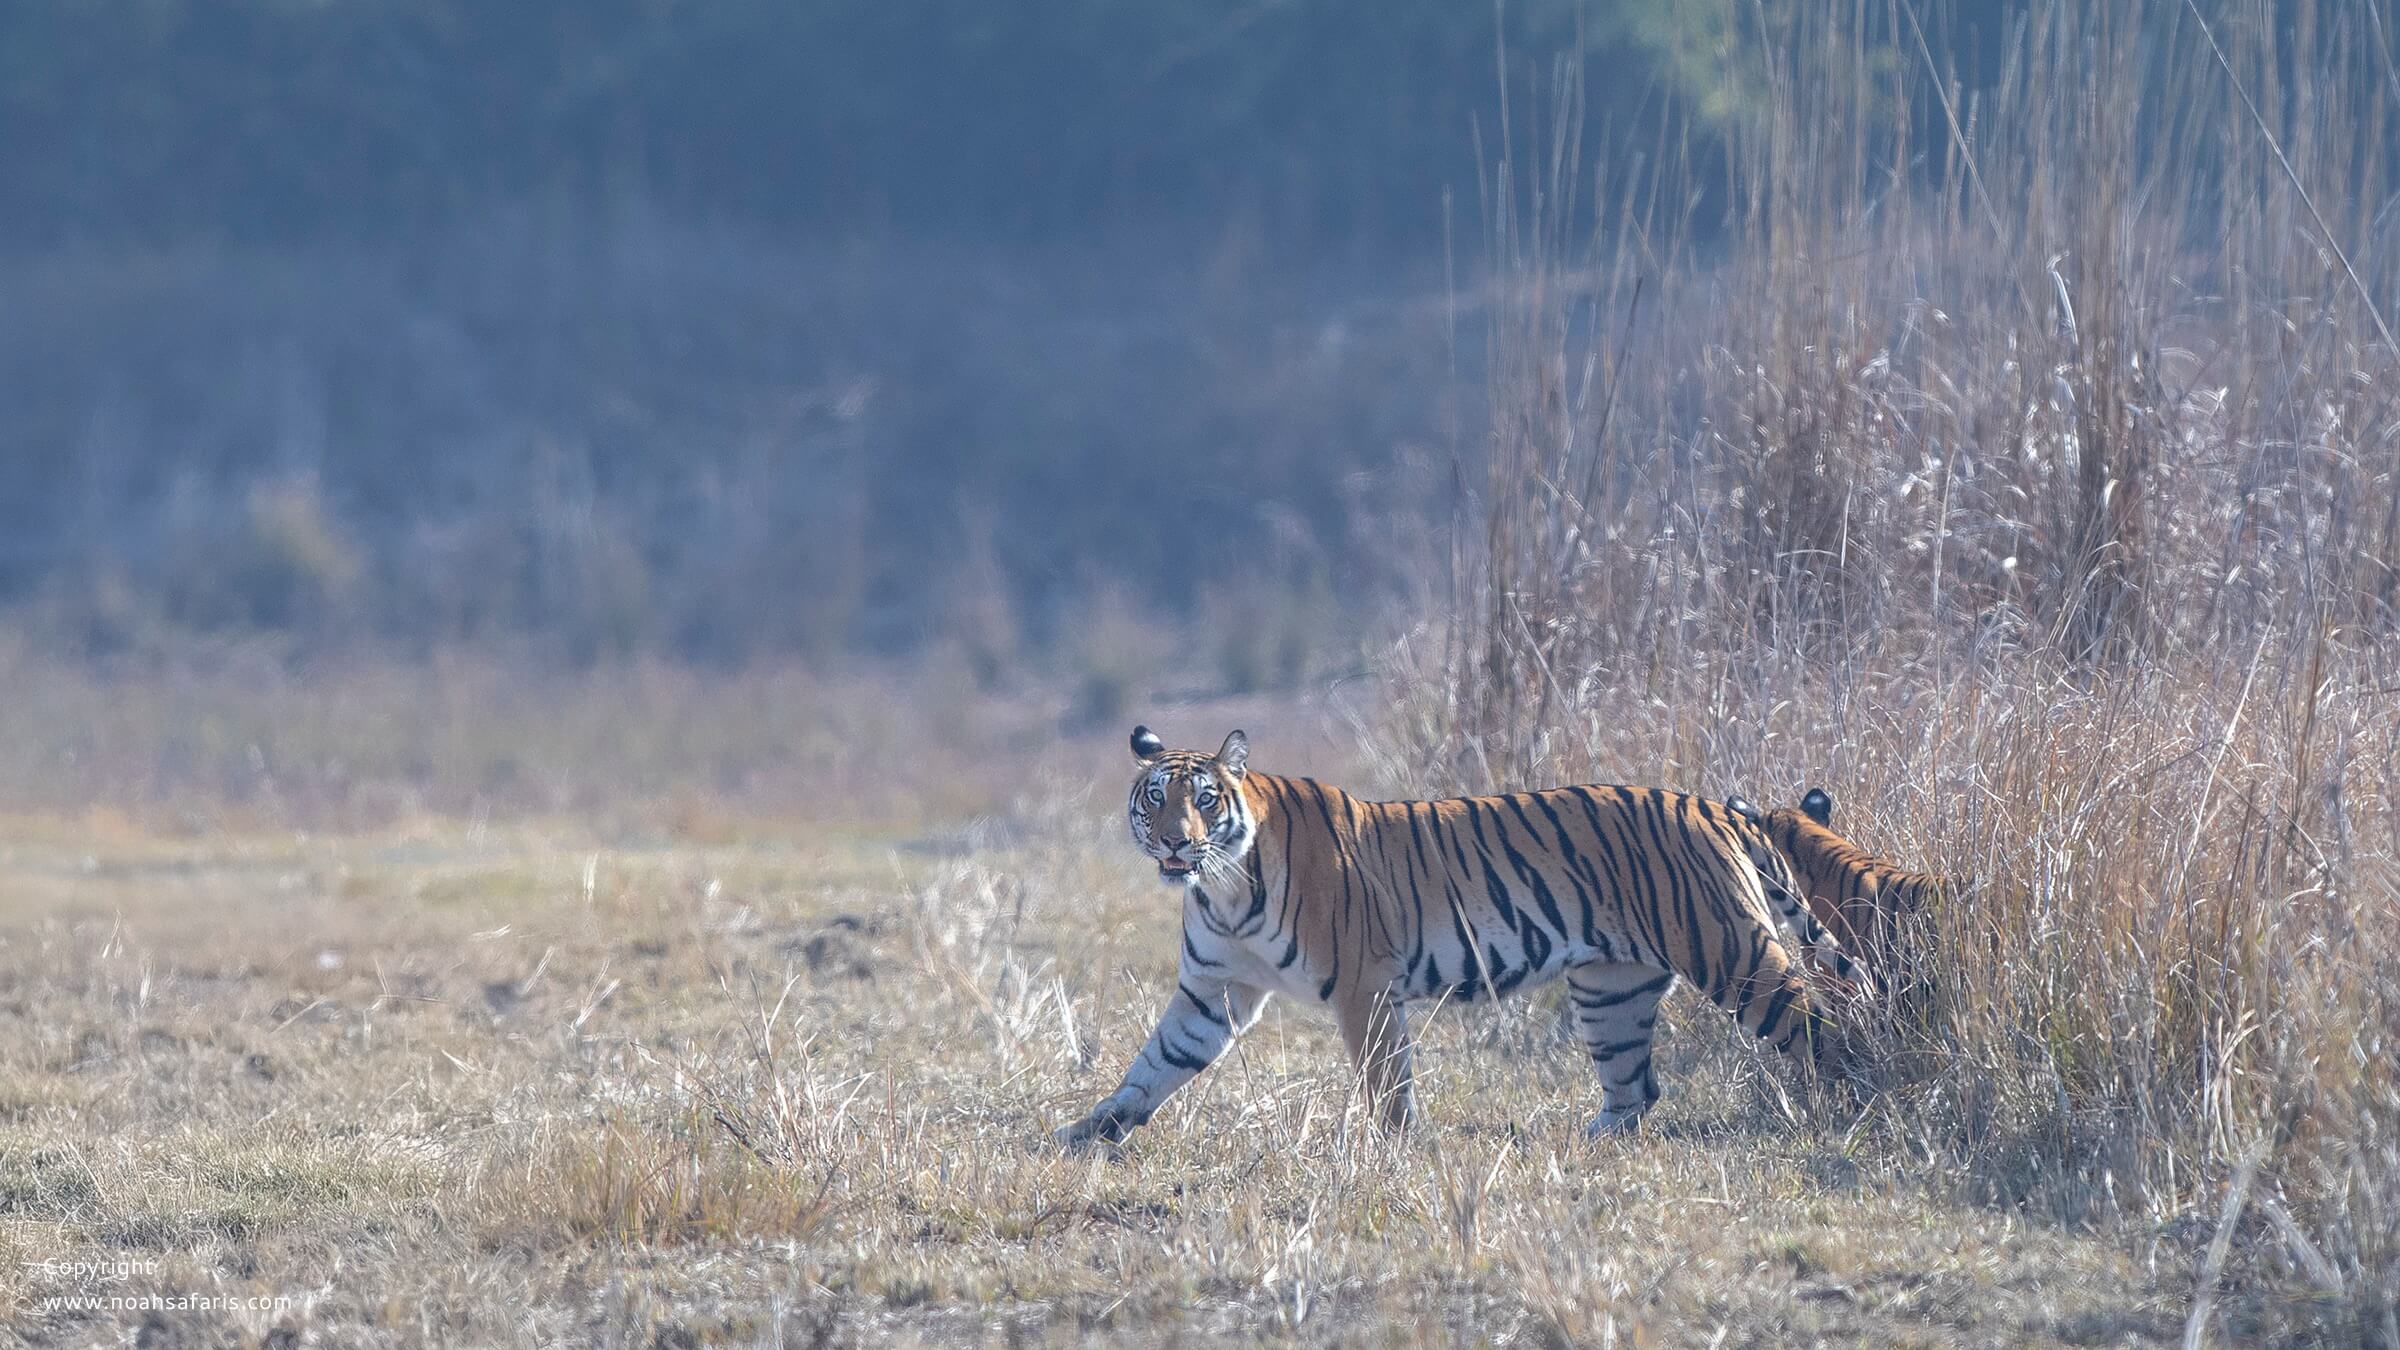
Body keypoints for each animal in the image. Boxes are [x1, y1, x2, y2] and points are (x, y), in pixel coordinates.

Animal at [1052, 726, 1869, 1149]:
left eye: (1205, 800)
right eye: (1156, 798)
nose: (1174, 842)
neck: (1223, 889)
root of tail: (1713, 806)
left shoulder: (1363, 987)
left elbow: (1386, 1081)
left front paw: (1394, 1150)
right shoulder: (1212, 990)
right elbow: (1154, 1064)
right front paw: (1090, 1131)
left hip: (1734, 955)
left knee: (1828, 1031)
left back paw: (1858, 1110)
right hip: (1611, 990)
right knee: (1635, 1088)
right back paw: (1579, 1145)